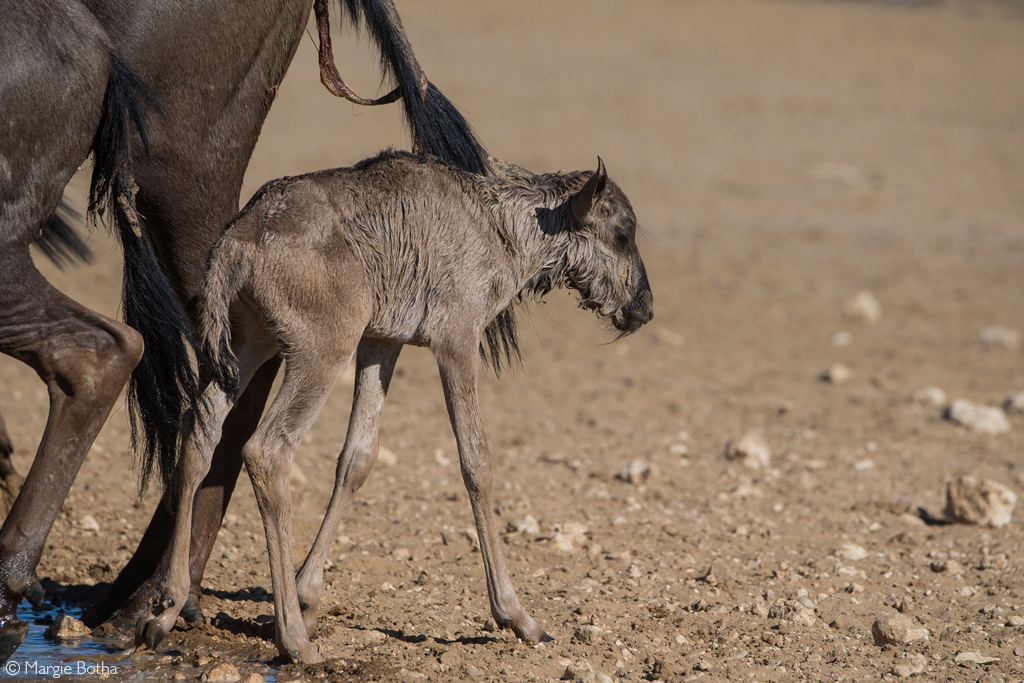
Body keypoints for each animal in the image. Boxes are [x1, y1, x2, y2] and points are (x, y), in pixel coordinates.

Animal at [136, 148, 651, 663]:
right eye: (622, 233)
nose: (644, 308)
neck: (500, 225)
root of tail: (240, 236)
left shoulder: (382, 342)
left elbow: (358, 459)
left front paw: (307, 594)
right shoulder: (456, 340)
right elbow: (476, 462)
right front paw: (516, 615)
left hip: (250, 343)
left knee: (199, 428)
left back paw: (165, 608)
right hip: (321, 350)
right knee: (268, 449)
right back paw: (295, 642)